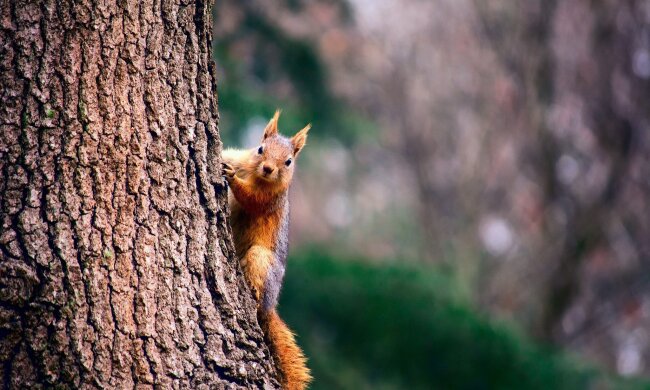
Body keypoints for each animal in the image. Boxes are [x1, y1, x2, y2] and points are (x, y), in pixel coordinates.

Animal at [220, 110, 312, 390]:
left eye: (289, 161)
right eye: (260, 149)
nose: (269, 168)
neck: (255, 175)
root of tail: (272, 305)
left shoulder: (270, 199)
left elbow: (251, 199)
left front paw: (232, 178)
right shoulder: (241, 157)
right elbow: (228, 155)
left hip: (260, 259)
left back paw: (254, 291)